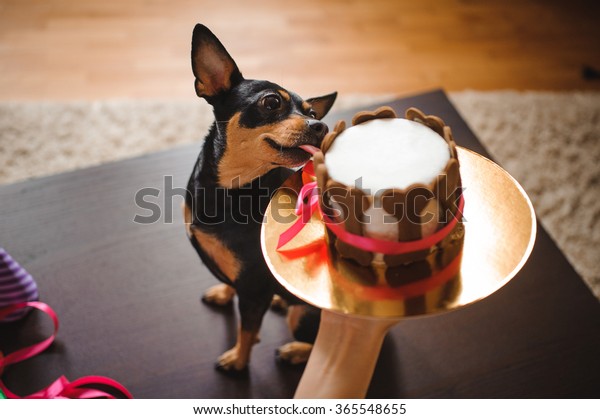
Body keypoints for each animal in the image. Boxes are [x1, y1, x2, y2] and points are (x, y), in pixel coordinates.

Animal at [185, 24, 336, 376]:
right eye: (271, 103)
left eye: (312, 112)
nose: (320, 125)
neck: (232, 188)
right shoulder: (242, 278)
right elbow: (231, 284)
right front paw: (223, 292)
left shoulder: (254, 289)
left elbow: (247, 329)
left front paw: (238, 361)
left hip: (304, 315)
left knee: (320, 347)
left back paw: (295, 350)